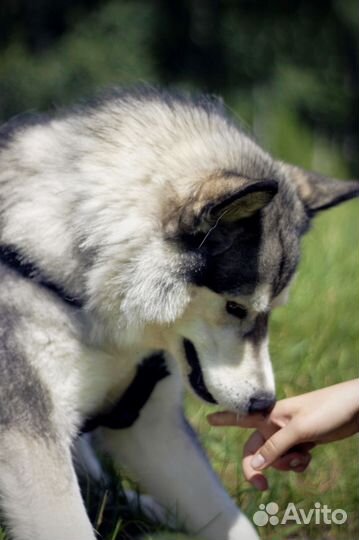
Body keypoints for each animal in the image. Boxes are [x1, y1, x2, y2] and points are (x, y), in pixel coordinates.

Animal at [0, 88, 358, 540]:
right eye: (236, 306)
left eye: (272, 311)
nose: (264, 404)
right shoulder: (29, 433)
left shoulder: (151, 425)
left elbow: (231, 520)